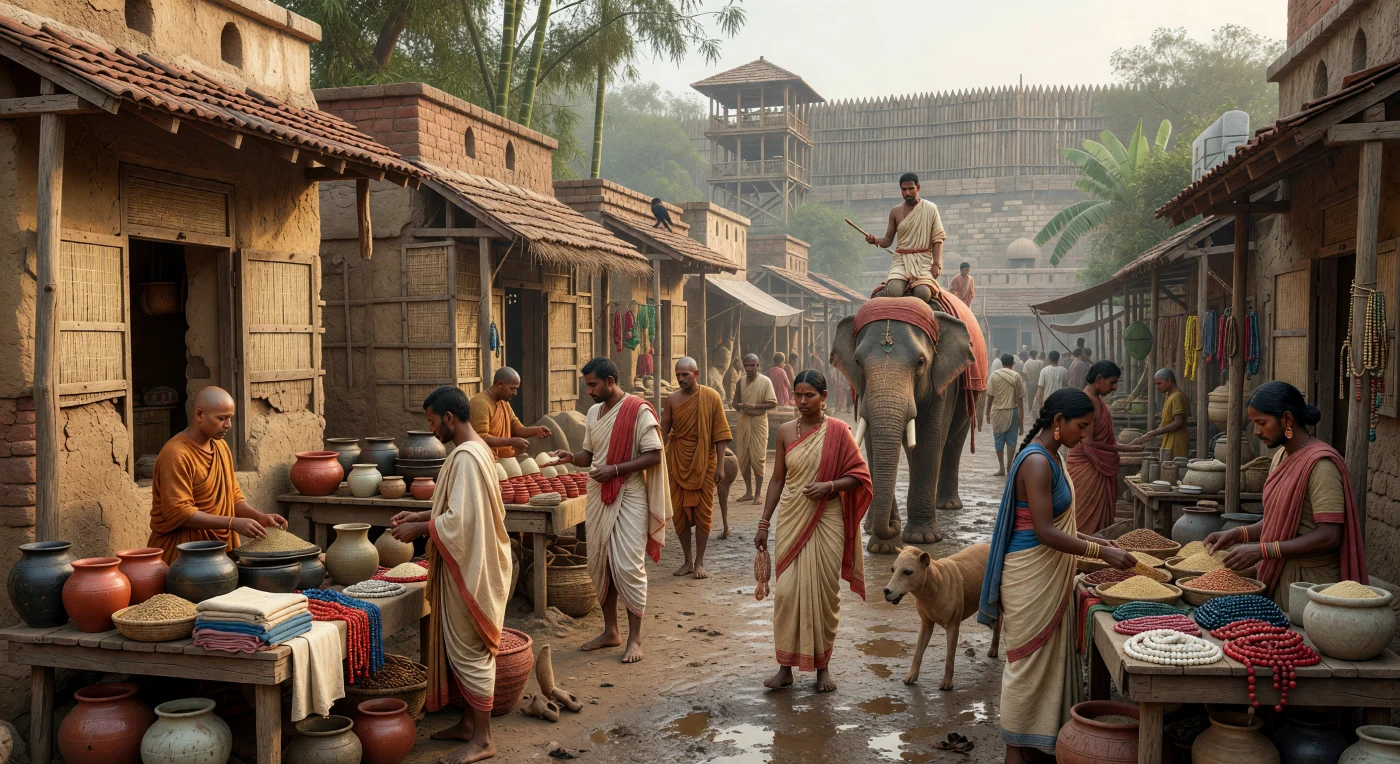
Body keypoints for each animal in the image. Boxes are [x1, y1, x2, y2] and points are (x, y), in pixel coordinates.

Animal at [831, 298, 978, 554]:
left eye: (920, 362)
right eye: (858, 362)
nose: (892, 526)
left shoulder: (942, 383)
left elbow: (929, 438)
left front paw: (922, 538)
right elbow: (872, 441)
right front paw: (882, 546)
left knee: (953, 442)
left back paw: (948, 505)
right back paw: (870, 525)